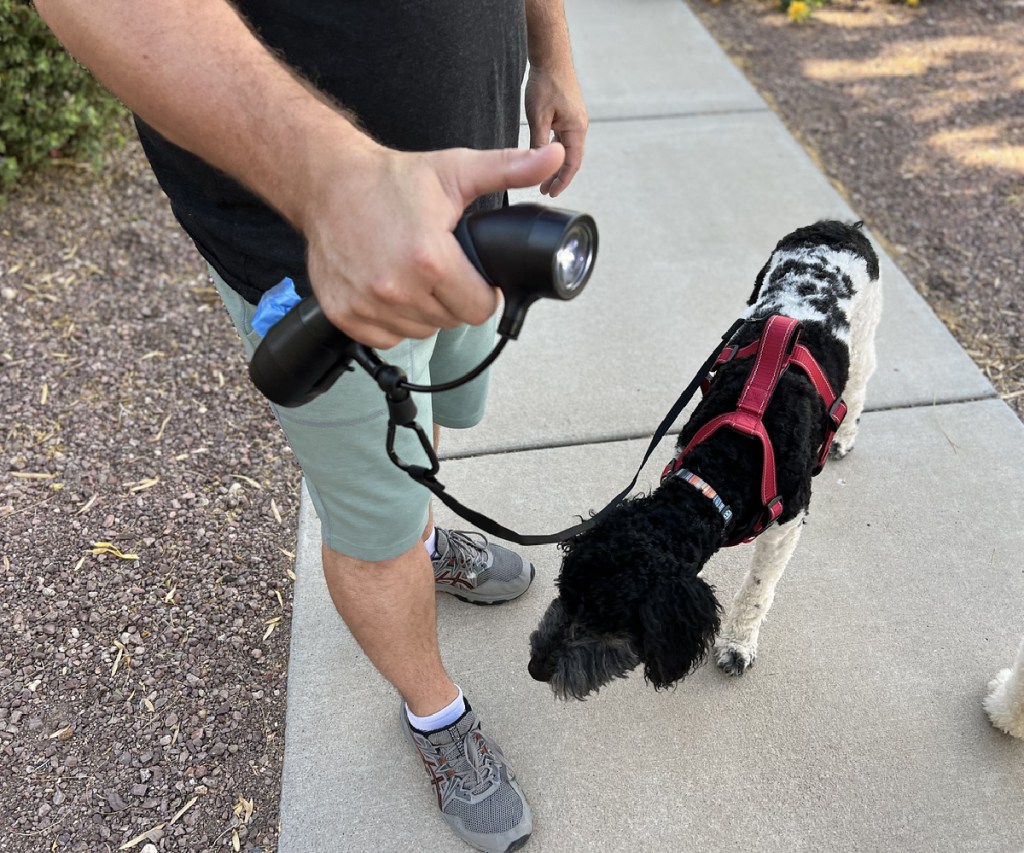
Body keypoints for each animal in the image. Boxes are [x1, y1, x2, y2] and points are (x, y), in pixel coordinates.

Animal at [528, 219, 880, 700]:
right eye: (565, 591)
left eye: (606, 620)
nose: (535, 669)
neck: (728, 462)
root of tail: (840, 226)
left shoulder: (787, 521)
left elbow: (758, 589)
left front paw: (738, 645)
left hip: (864, 333)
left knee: (861, 379)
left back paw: (843, 436)